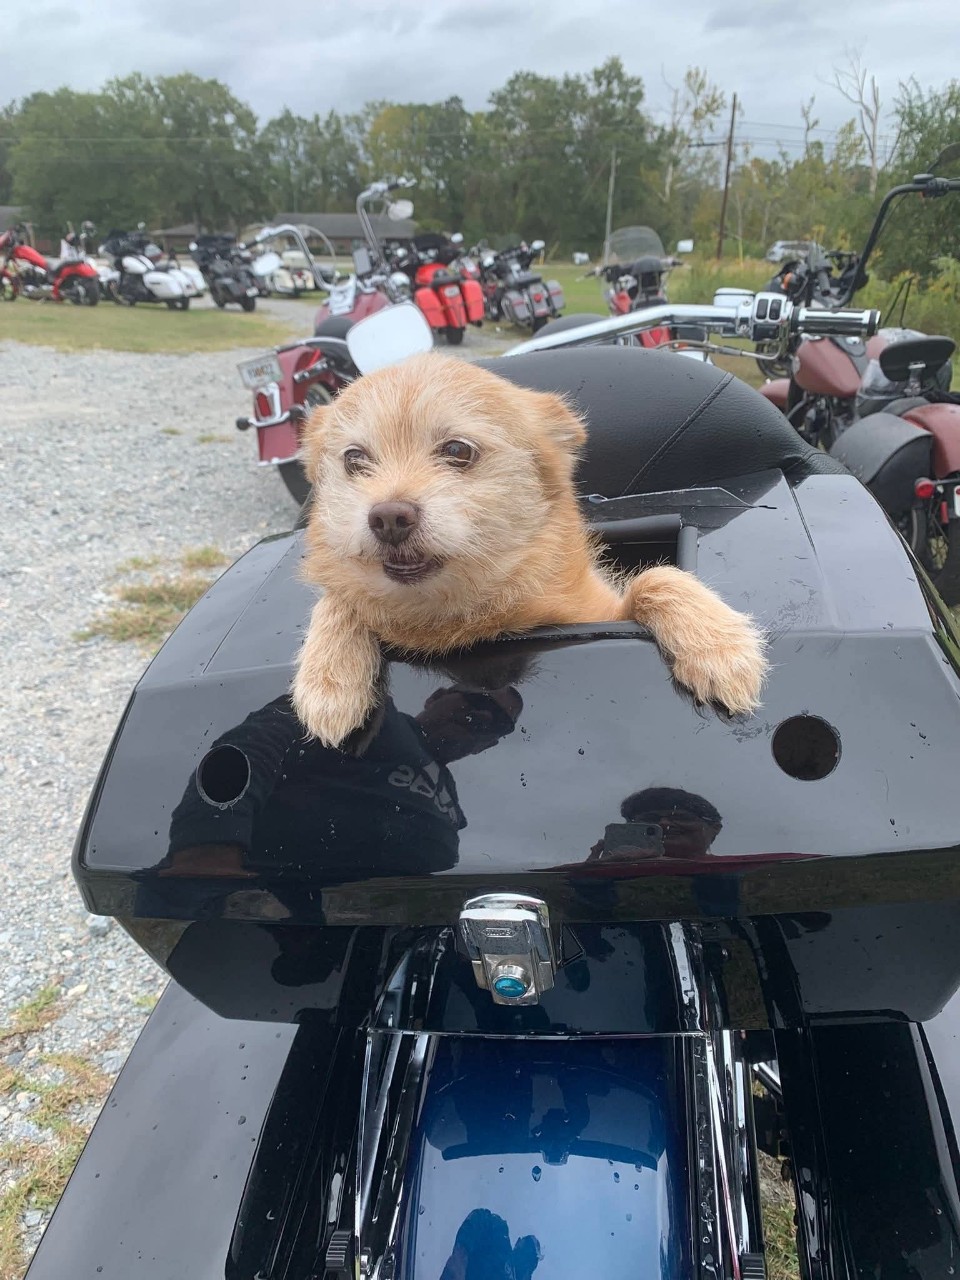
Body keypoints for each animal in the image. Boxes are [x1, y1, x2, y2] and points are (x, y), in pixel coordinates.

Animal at [292, 353, 767, 747]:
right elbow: (339, 598)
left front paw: (718, 647)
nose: (389, 517)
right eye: (354, 459)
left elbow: (657, 577)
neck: (463, 614)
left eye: (457, 450)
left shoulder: (602, 613)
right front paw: (328, 680)